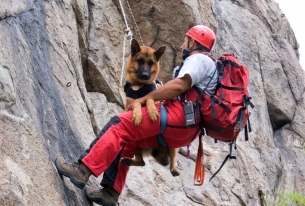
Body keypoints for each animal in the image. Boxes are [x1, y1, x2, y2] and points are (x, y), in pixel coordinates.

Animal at [120, 39, 179, 177]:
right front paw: (138, 115)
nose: (145, 75)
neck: (140, 86)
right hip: (135, 144)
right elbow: (137, 102)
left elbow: (149, 98)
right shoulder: (129, 107)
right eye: (140, 60)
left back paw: (174, 169)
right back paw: (128, 161)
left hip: (173, 146)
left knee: (172, 159)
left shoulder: (156, 100)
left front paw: (152, 112)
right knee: (141, 162)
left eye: (151, 63)